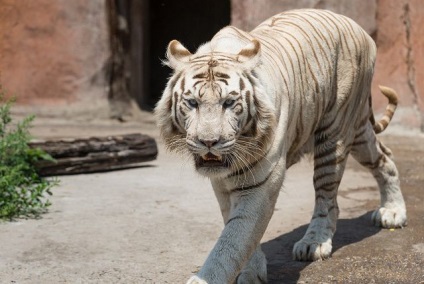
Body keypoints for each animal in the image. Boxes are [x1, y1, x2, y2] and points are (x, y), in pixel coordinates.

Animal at [154, 8, 406, 284]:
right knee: (385, 156)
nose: (208, 142)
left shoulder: (260, 182)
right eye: (192, 103)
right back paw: (393, 211)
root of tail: (357, 26)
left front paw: (210, 277)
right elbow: (238, 232)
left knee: (327, 197)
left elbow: (233, 239)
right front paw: (252, 270)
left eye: (229, 103)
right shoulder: (222, 183)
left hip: (335, 131)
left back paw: (315, 242)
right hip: (358, 130)